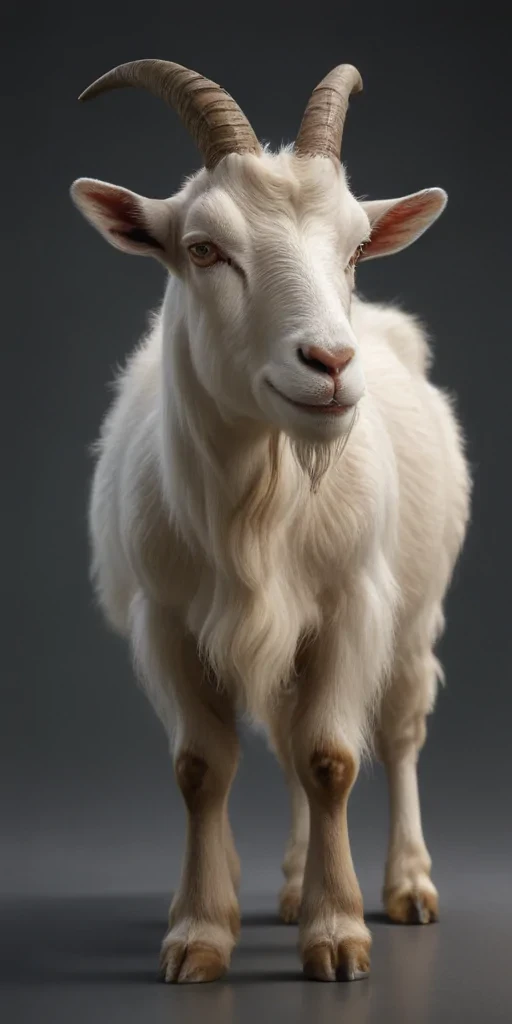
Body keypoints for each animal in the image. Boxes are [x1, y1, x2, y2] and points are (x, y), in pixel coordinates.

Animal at [71, 59, 471, 984]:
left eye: (355, 248)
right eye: (204, 249)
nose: (329, 362)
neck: (260, 506)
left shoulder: (352, 604)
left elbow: (333, 758)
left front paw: (339, 934)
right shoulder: (167, 621)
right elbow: (201, 768)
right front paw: (199, 932)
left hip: (417, 610)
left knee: (398, 733)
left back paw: (407, 886)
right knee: (284, 742)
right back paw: (288, 887)